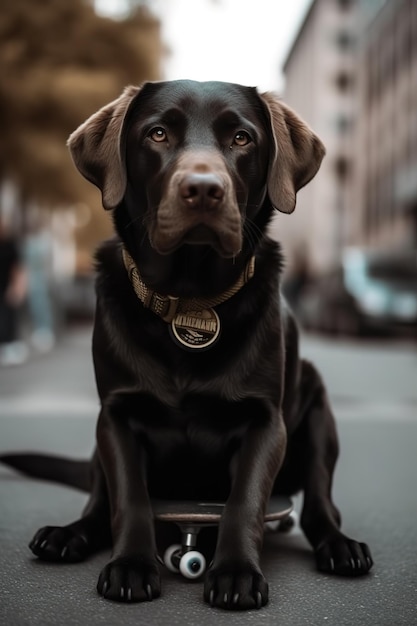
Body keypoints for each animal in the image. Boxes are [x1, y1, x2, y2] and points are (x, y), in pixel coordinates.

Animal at [1, 79, 372, 608]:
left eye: (242, 138)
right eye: (157, 133)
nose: (203, 190)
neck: (191, 299)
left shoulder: (266, 422)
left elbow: (245, 500)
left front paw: (236, 571)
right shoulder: (116, 416)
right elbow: (129, 497)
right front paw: (133, 564)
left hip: (318, 409)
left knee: (322, 505)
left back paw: (339, 546)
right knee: (97, 501)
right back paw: (69, 534)